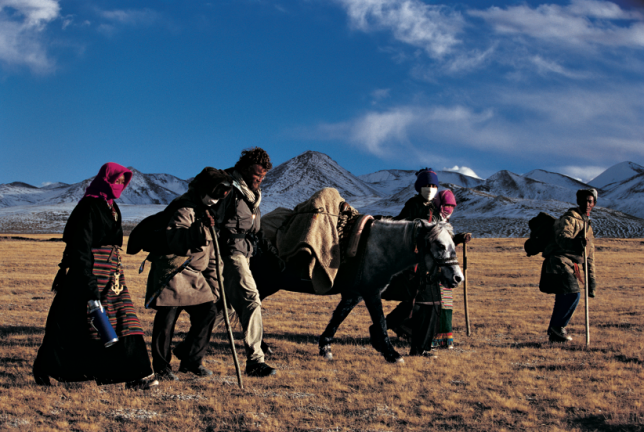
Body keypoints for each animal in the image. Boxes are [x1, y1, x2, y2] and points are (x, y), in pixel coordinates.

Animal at [253, 218, 462, 362]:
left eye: (453, 244)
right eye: (440, 245)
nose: (457, 278)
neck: (378, 249)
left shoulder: (354, 295)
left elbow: (338, 318)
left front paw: (325, 348)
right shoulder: (371, 292)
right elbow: (380, 321)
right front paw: (392, 354)